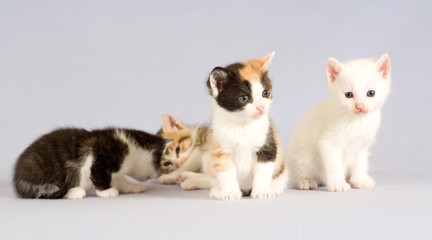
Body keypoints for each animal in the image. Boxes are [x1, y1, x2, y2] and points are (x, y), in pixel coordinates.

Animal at [15, 127, 174, 199]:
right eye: (162, 164)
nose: (158, 174)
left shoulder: (115, 172)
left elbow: (120, 180)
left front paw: (132, 187)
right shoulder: (99, 156)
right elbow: (98, 174)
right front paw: (106, 191)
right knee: (48, 192)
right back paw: (75, 191)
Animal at [204, 53, 288, 201]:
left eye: (265, 93)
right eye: (244, 98)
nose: (261, 107)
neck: (243, 124)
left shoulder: (268, 144)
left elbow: (263, 171)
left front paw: (262, 191)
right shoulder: (219, 148)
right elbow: (226, 172)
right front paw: (230, 192)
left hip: (281, 167)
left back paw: (274, 188)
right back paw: (217, 190)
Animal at [286, 54, 392, 191]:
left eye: (371, 93)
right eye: (348, 94)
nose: (360, 106)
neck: (356, 121)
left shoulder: (361, 146)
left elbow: (360, 163)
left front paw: (360, 180)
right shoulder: (328, 143)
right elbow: (334, 165)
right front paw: (338, 184)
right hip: (303, 159)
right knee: (294, 177)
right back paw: (305, 181)